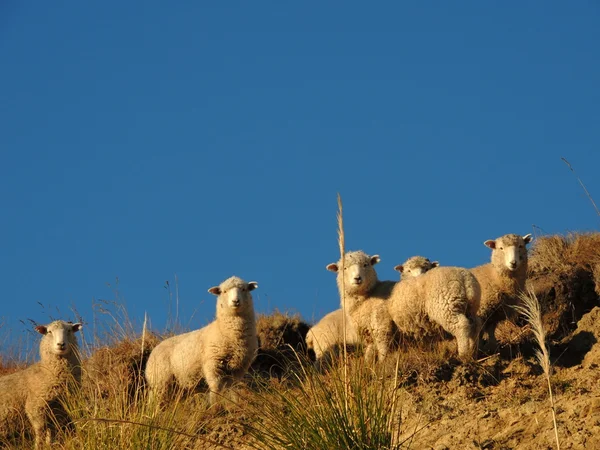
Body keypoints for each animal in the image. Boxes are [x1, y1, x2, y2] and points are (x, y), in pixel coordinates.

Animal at [0, 320, 83, 450]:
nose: (61, 344)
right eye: (49, 332)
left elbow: (53, 430)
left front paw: (51, 445)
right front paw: (38, 446)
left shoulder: (57, 408)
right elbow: (40, 430)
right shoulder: (35, 406)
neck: (46, 371)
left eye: (69, 330)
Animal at [146, 276, 258, 406]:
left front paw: (233, 402)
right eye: (224, 291)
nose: (235, 301)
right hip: (160, 379)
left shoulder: (239, 367)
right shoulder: (212, 362)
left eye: (244, 289)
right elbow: (215, 387)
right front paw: (214, 404)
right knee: (155, 399)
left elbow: (232, 388)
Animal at [308, 253, 438, 370]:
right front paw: (380, 364)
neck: (369, 295)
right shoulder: (380, 326)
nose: (357, 278)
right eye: (344, 268)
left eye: (366, 265)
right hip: (325, 347)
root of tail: (313, 330)